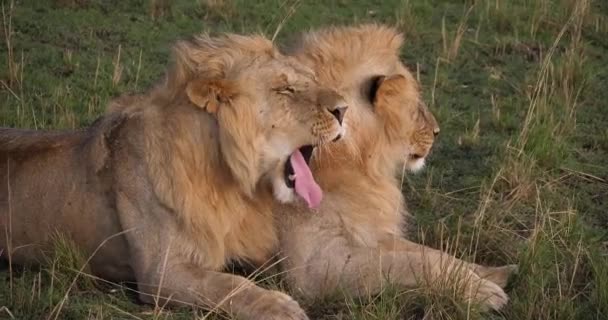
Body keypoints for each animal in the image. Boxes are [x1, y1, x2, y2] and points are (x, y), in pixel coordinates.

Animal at [0, 32, 346, 320]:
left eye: (312, 80)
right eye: (284, 89)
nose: (343, 109)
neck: (230, 181)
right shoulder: (161, 272)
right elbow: (227, 285)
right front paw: (278, 306)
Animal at [276, 25, 516, 312]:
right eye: (414, 106)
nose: (437, 131)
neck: (357, 163)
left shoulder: (368, 231)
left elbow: (429, 251)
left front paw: (493, 272)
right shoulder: (314, 267)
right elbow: (413, 262)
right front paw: (481, 290)